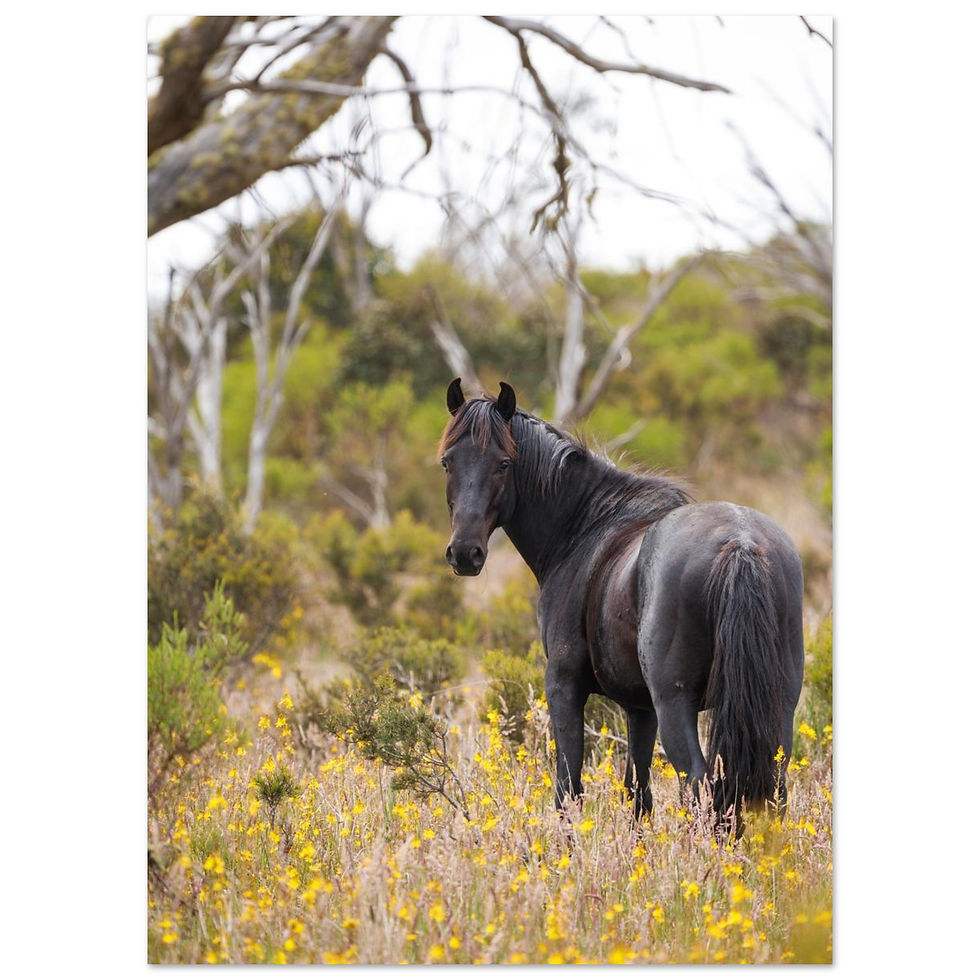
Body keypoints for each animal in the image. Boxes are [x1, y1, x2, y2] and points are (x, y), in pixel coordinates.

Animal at [438, 378, 805, 833]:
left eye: (504, 463)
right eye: (447, 462)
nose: (464, 553)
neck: (586, 528)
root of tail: (740, 543)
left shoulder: (563, 687)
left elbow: (569, 790)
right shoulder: (640, 708)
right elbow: (638, 793)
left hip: (675, 704)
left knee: (699, 785)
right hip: (775, 705)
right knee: (771, 787)